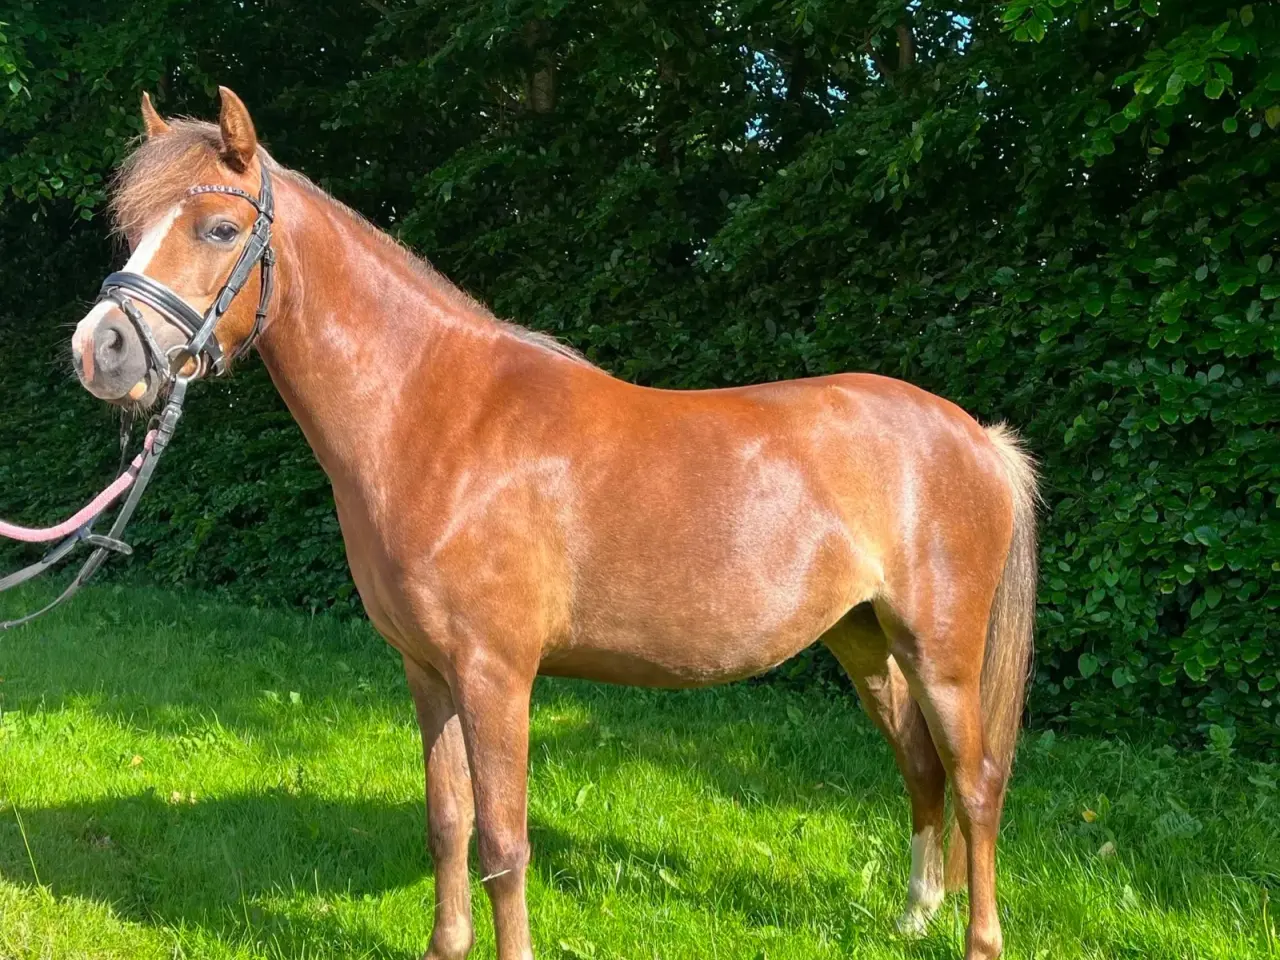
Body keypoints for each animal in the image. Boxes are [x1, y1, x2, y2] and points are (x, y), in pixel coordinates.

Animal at [69, 89, 1038, 960]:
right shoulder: (429, 671)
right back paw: (913, 918)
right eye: (133, 226)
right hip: (863, 640)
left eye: (219, 231)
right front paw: (445, 948)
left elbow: (503, 842)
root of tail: (978, 439)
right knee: (921, 766)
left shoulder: (496, 674)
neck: (436, 417)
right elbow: (448, 823)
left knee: (978, 784)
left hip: (940, 654)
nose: (98, 350)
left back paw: (979, 940)